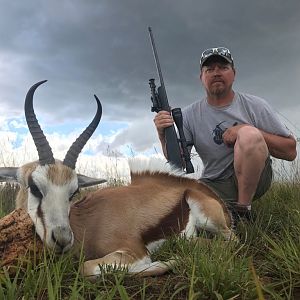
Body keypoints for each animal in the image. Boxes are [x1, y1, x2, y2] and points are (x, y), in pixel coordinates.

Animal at [0, 80, 236, 278]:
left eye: (73, 192)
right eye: (34, 187)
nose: (63, 239)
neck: (84, 224)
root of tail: (202, 190)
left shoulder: (135, 251)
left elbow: (87, 267)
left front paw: (170, 261)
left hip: (213, 223)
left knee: (230, 241)